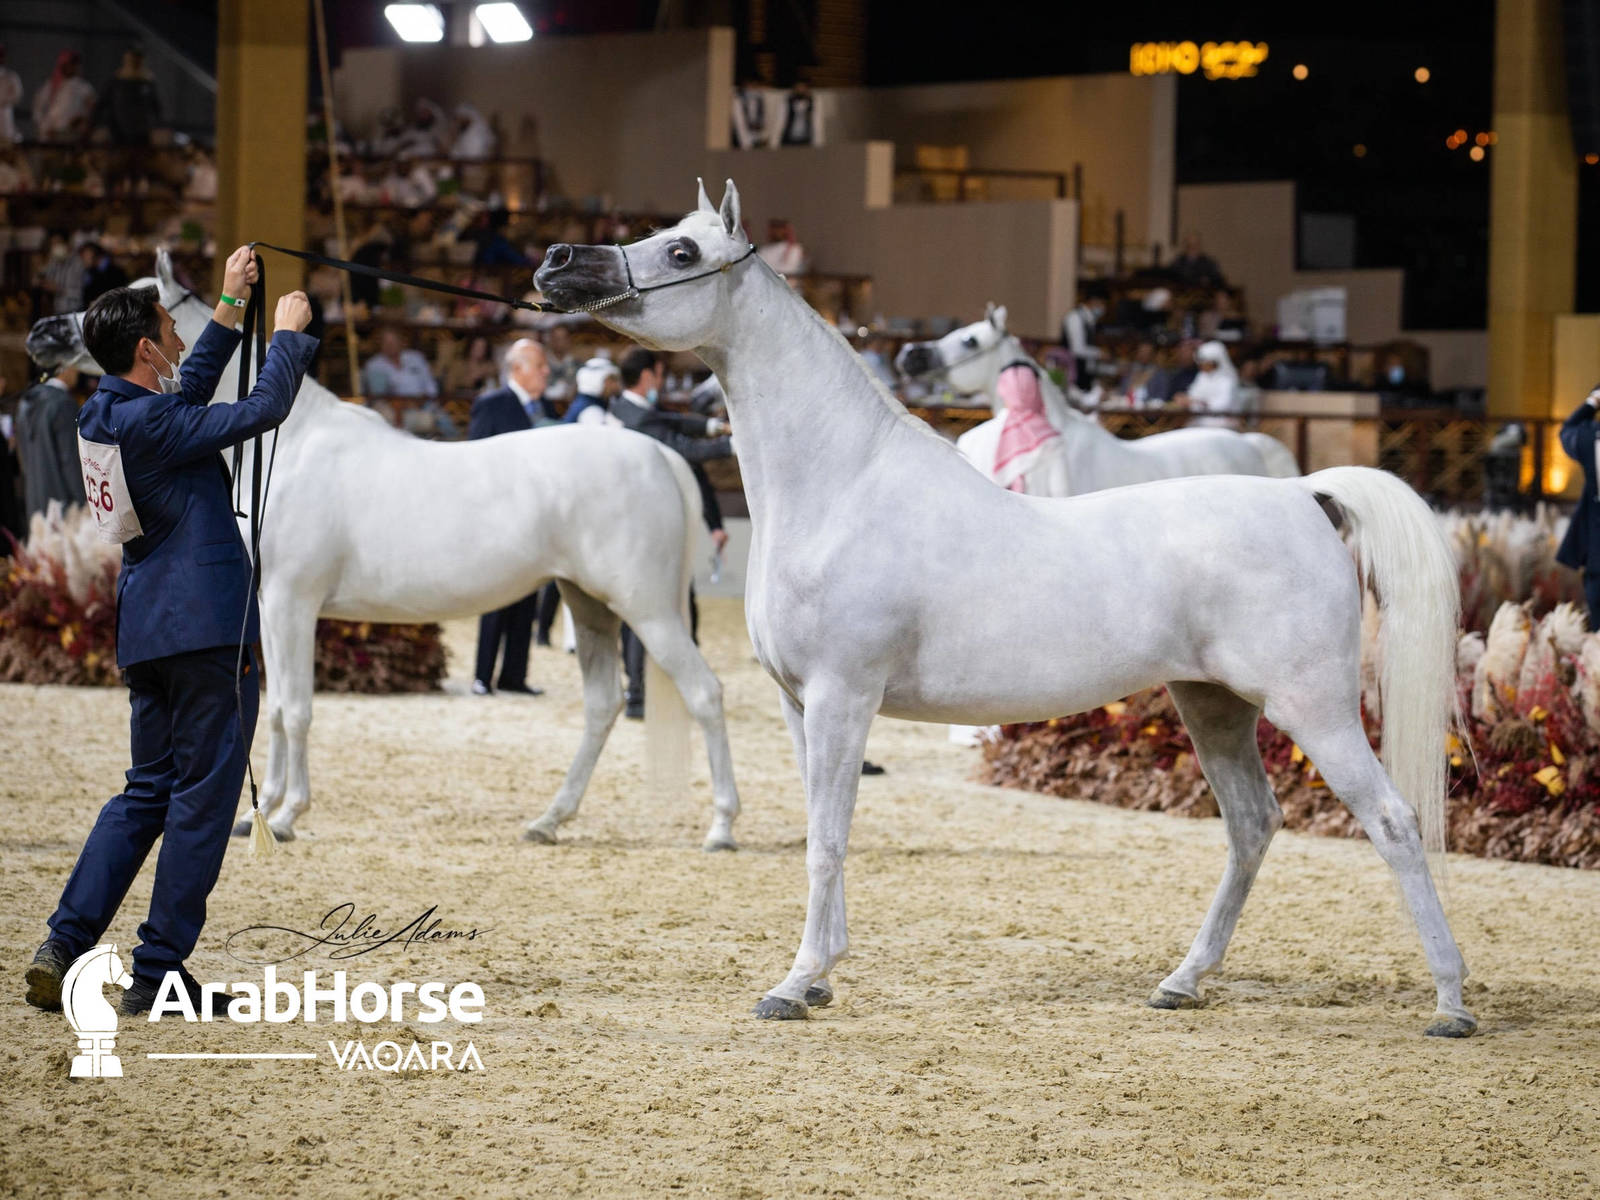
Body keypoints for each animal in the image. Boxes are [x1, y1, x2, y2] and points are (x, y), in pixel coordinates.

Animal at [29, 252, 743, 850]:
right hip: (586, 602)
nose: (40, 333)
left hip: (647, 609)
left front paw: (285, 815)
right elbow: (280, 709)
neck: (292, 445)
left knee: (707, 694)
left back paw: (721, 827)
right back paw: (549, 820)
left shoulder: (292, 603)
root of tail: (659, 454)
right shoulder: (268, 609)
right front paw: (263, 812)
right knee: (601, 707)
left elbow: (297, 709)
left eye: (133, 299)